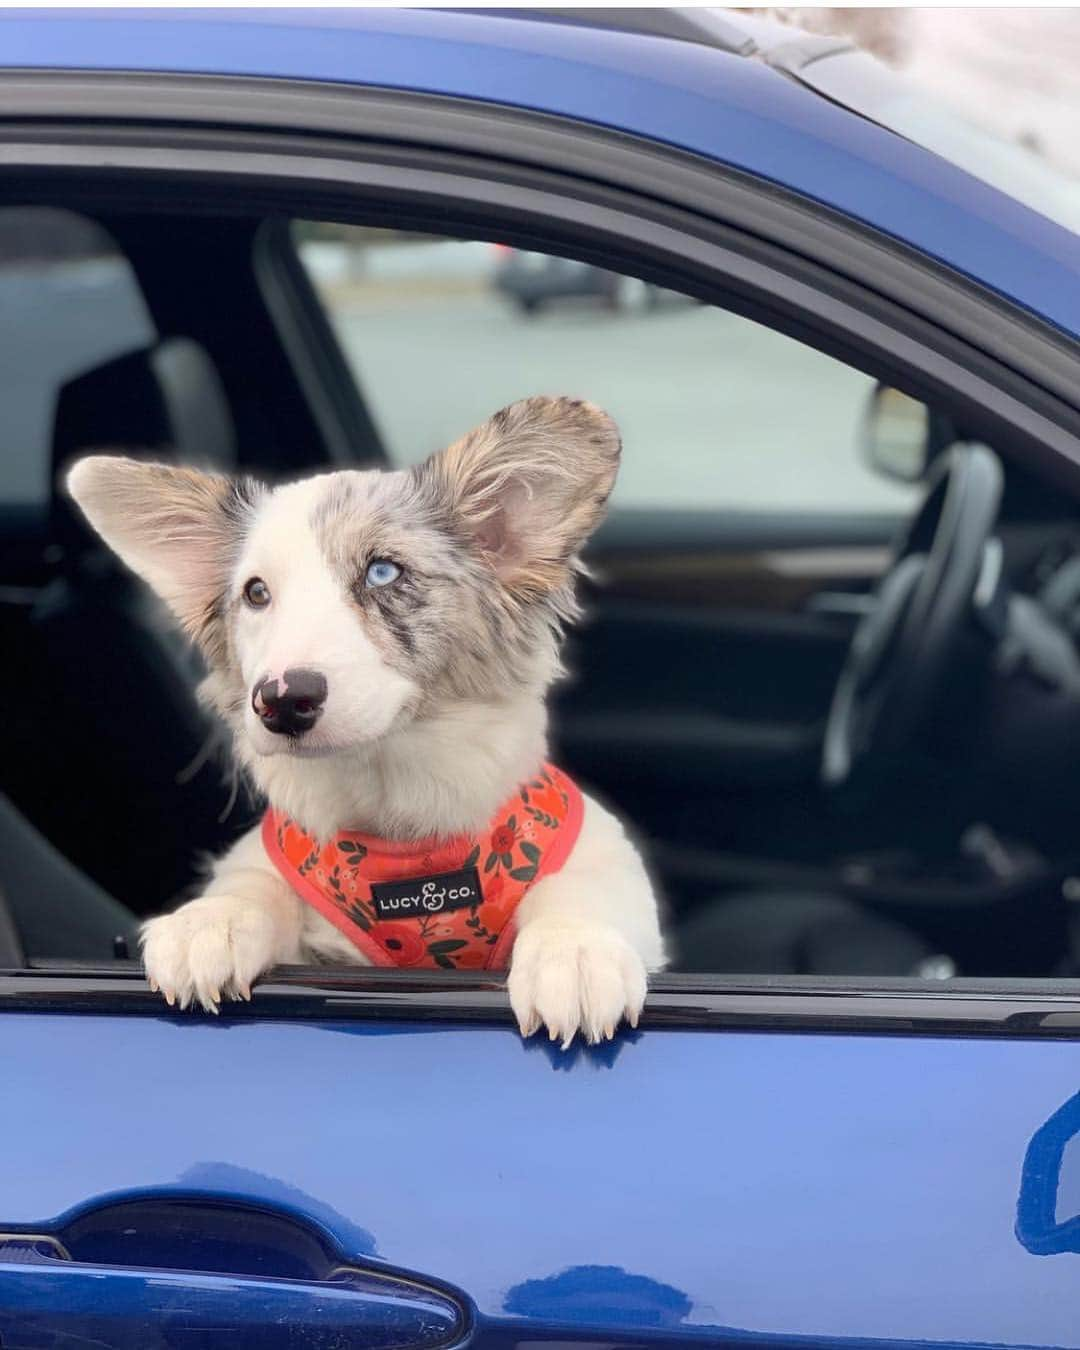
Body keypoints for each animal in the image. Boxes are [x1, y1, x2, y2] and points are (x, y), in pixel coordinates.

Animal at [67, 394, 666, 1047]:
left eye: (383, 572)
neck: (392, 805)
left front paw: (575, 952)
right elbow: (254, 884)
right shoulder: (273, 870)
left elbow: (581, 895)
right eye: (256, 593)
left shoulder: (602, 862)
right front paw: (208, 922)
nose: (281, 702)